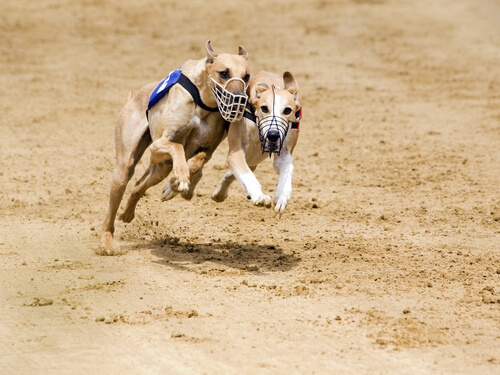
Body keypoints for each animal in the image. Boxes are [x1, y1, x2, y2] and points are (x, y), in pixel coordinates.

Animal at [101, 41, 266, 253]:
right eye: (224, 73)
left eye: (246, 76)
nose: (239, 100)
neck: (203, 101)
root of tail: (131, 99)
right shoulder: (157, 147)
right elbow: (177, 148)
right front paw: (180, 177)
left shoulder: (206, 149)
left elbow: (197, 162)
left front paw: (177, 183)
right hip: (125, 167)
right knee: (117, 198)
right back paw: (107, 241)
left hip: (160, 169)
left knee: (138, 186)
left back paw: (128, 213)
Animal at [211, 71, 300, 217]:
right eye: (264, 108)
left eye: (287, 110)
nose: (273, 134)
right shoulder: (235, 152)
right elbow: (247, 175)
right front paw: (259, 196)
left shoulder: (284, 155)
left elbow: (287, 171)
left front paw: (281, 195)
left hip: (253, 160)